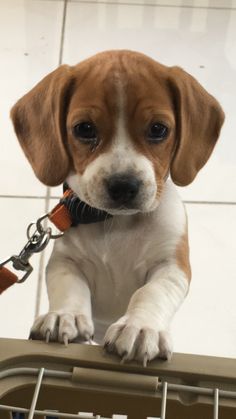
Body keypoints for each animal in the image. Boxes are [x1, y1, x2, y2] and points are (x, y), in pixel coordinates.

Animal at [11, 49, 225, 364]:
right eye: (84, 129)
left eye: (158, 129)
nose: (123, 185)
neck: (118, 224)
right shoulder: (65, 261)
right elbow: (69, 286)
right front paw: (65, 316)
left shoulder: (172, 266)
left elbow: (150, 293)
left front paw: (141, 327)